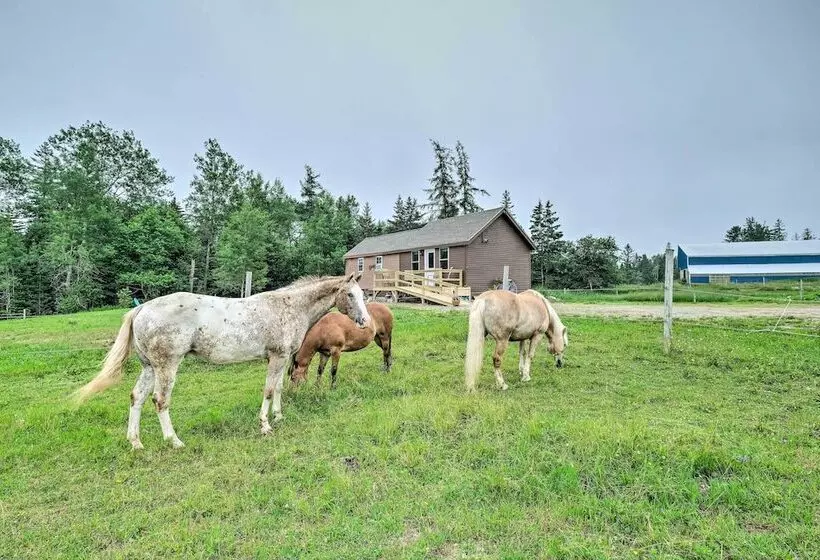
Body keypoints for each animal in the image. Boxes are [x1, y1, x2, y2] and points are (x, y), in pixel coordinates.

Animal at [75, 273, 370, 450]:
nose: (365, 322)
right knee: (159, 400)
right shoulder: (277, 357)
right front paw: (265, 426)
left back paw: (135, 443)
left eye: (364, 295)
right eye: (350, 295)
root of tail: (141, 308)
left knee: (136, 397)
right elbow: (269, 390)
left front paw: (279, 416)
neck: (288, 307)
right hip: (166, 366)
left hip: (149, 367)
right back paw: (174, 441)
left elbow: (278, 389)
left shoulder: (282, 358)